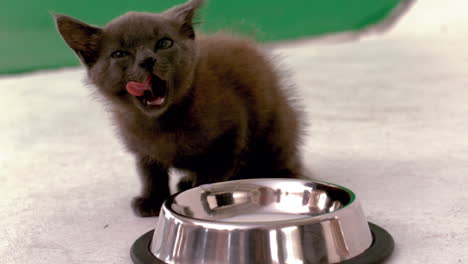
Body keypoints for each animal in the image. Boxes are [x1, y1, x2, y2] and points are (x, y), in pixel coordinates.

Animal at [55, 0, 304, 217]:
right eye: (119, 54)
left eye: (164, 43)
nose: (148, 60)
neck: (162, 121)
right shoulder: (142, 147)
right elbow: (149, 172)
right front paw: (152, 199)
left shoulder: (232, 133)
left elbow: (213, 174)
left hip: (275, 132)